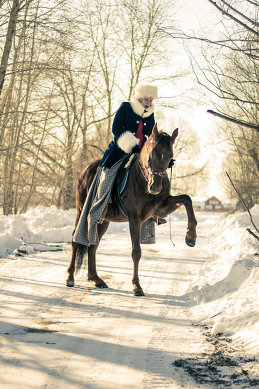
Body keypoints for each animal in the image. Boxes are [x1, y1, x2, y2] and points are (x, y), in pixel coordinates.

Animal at [66, 123, 197, 296]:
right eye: (151, 155)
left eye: (170, 157)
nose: (155, 187)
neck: (143, 180)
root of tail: (85, 171)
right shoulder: (134, 218)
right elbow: (136, 252)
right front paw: (137, 286)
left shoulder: (161, 208)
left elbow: (187, 199)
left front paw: (191, 236)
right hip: (82, 210)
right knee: (75, 239)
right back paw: (70, 277)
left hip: (103, 221)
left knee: (93, 245)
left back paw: (96, 279)